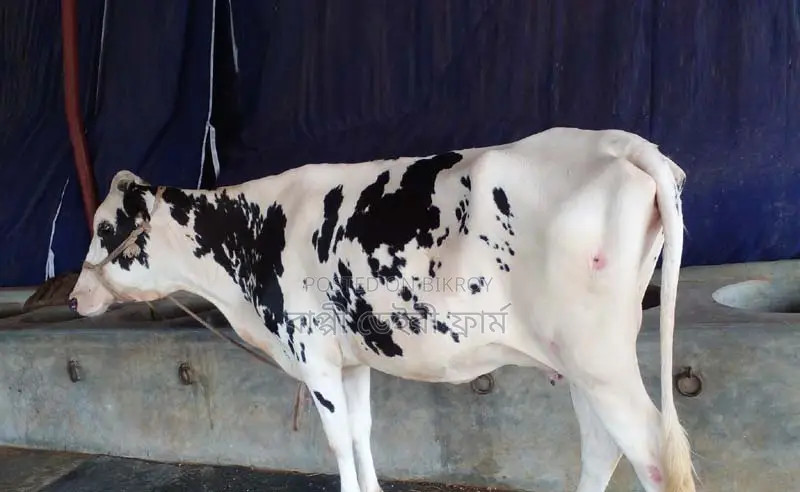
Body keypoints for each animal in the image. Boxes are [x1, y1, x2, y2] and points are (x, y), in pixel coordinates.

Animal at [68, 127, 696, 492]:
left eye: (104, 228)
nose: (74, 297)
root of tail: (620, 143)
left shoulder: (315, 357)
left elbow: (338, 440)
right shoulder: (353, 359)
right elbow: (363, 432)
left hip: (600, 361)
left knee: (648, 453)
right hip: (579, 363)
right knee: (602, 448)